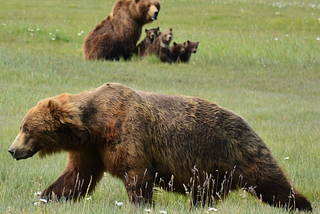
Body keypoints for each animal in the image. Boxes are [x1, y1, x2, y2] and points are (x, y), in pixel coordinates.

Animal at [8, 83, 312, 211]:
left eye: (26, 128)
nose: (12, 150)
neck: (97, 125)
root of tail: (247, 123)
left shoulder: (129, 134)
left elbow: (137, 176)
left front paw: (141, 204)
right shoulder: (92, 150)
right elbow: (76, 178)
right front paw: (46, 196)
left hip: (236, 151)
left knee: (272, 182)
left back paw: (302, 204)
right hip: (210, 172)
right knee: (204, 194)